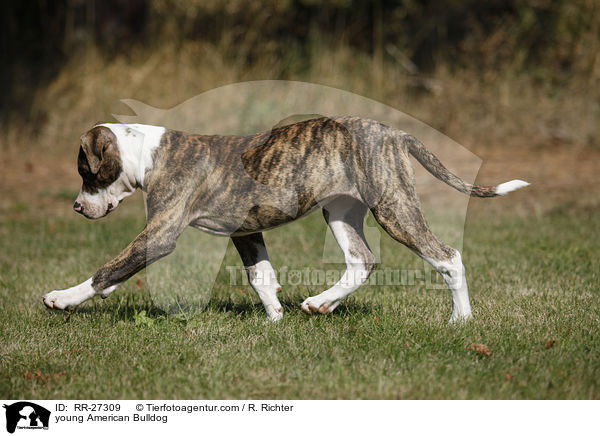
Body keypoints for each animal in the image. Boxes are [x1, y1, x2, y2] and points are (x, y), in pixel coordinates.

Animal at [43, 117, 528, 322]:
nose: (76, 208)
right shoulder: (246, 230)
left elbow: (109, 269)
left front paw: (63, 298)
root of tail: (393, 132)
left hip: (394, 208)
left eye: (85, 170)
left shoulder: (160, 235)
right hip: (341, 210)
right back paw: (321, 304)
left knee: (447, 256)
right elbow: (261, 276)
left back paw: (461, 320)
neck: (148, 154)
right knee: (362, 261)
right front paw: (276, 318)